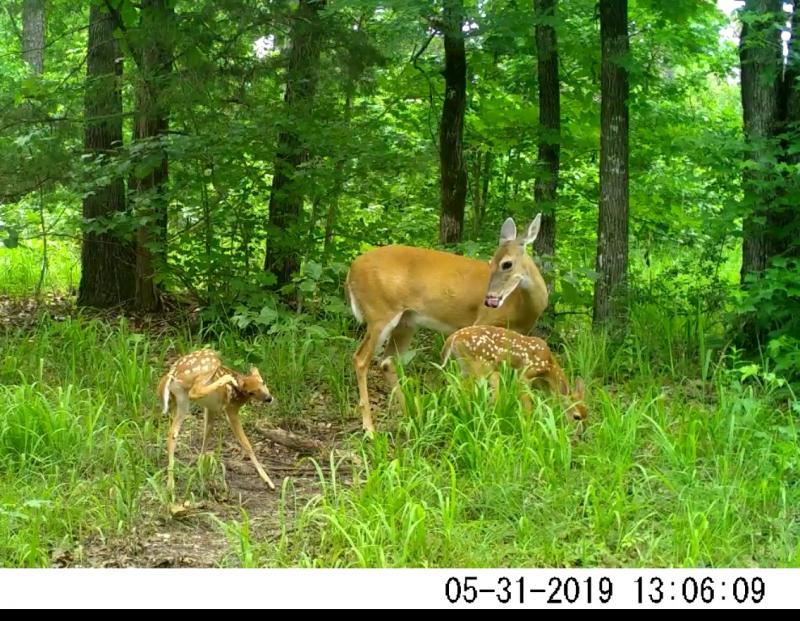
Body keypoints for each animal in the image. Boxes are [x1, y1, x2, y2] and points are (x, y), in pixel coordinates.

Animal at [158, 346, 276, 496]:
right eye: (251, 392)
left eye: (263, 382)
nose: (268, 398)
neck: (239, 395)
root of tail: (172, 374)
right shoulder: (231, 409)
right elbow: (246, 443)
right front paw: (269, 482)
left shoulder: (210, 408)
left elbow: (207, 433)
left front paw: (200, 468)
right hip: (208, 364)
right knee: (195, 391)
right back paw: (226, 379)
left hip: (180, 400)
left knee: (172, 433)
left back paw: (170, 485)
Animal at [346, 213, 548, 432]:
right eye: (491, 262)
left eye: (507, 264)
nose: (489, 300)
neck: (522, 305)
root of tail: (351, 270)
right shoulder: (482, 323)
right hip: (380, 312)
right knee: (361, 359)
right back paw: (369, 428)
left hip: (406, 322)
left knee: (387, 361)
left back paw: (411, 416)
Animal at [440, 324, 584, 422]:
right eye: (577, 417)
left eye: (586, 413)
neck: (548, 368)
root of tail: (452, 339)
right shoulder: (525, 373)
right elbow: (527, 404)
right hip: (482, 368)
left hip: (464, 367)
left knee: (453, 388)